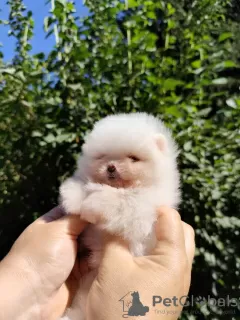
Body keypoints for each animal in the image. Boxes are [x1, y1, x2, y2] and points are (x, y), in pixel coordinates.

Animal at [59, 112, 180, 320]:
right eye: (101, 156)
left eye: (133, 158)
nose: (111, 167)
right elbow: (85, 185)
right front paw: (73, 195)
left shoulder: (142, 212)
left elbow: (120, 202)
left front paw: (92, 203)